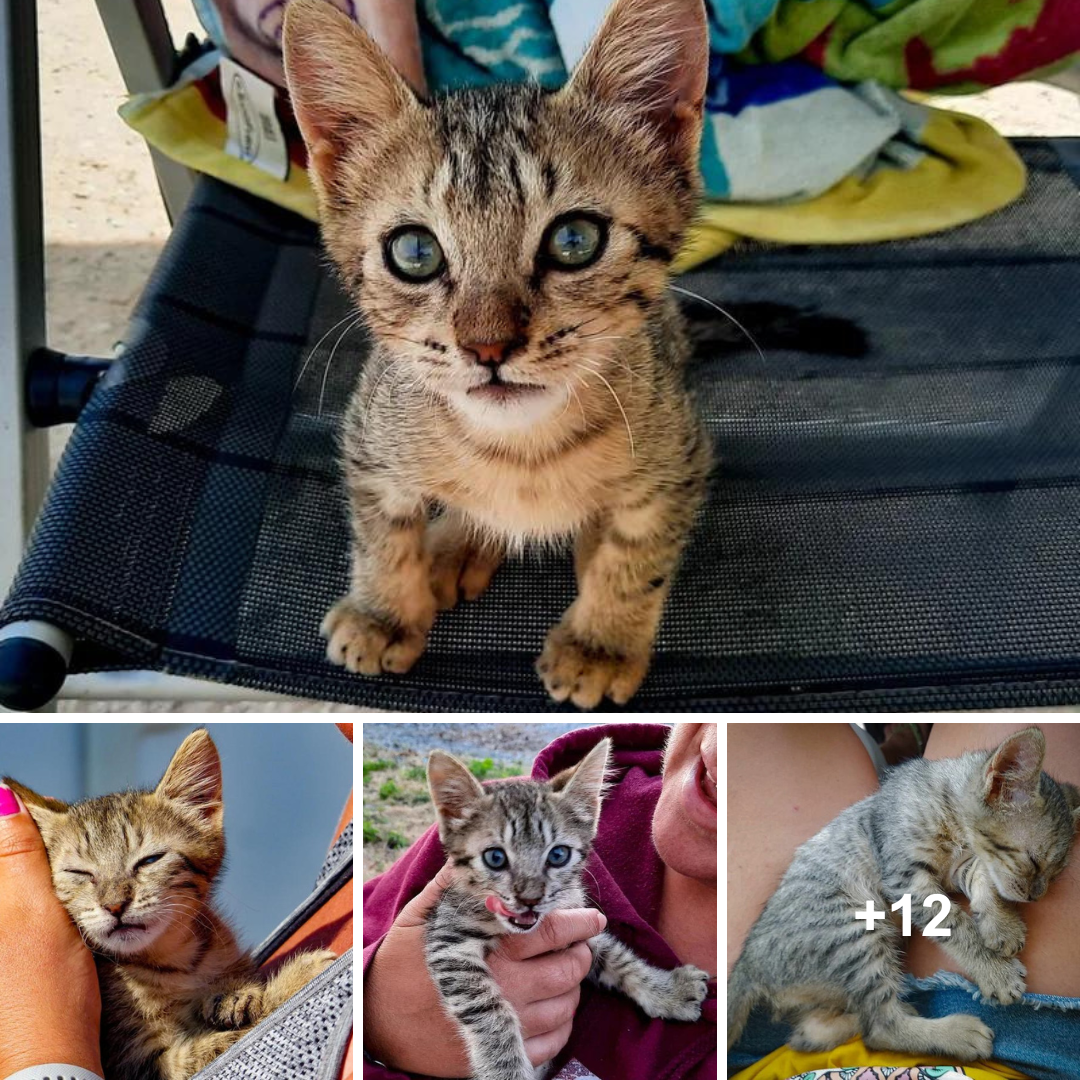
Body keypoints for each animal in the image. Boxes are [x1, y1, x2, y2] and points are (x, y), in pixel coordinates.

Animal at [4, 725, 332, 1080]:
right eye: (80, 873)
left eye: (150, 860)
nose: (115, 905)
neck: (174, 960)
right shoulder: (142, 1065)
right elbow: (222, 1044)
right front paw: (297, 976)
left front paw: (235, 993)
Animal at [282, 0, 712, 708]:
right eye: (414, 252)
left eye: (575, 240)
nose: (487, 345)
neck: (520, 453)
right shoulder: (369, 435)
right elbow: (381, 531)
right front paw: (382, 611)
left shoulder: (679, 456)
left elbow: (637, 552)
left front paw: (601, 641)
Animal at [425, 734, 712, 1080]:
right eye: (495, 858)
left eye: (558, 855)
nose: (530, 899)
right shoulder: (448, 941)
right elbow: (489, 1010)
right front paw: (507, 1070)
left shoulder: (577, 920)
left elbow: (620, 958)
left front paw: (668, 991)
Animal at [725, 725, 1080, 1062]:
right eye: (1033, 863)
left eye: (1054, 874)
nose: (1036, 896)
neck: (946, 802)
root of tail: (748, 963)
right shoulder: (906, 879)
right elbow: (954, 924)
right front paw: (994, 971)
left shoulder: (959, 867)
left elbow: (983, 876)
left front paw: (1001, 925)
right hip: (854, 931)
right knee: (879, 1028)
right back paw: (955, 1034)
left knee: (810, 1035)